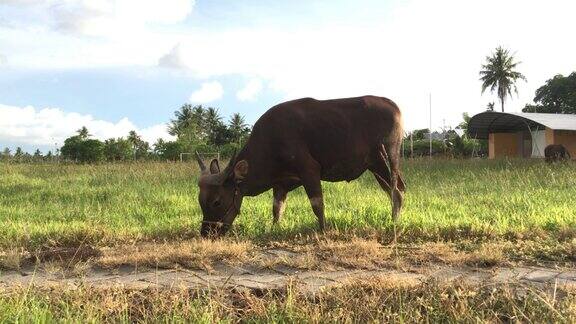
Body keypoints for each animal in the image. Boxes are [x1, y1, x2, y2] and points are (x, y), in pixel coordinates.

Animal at [196, 95, 408, 237]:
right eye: (200, 201)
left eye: (216, 201)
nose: (206, 232)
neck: (270, 142)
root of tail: (393, 106)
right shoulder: (280, 184)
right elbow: (277, 209)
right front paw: (274, 228)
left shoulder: (310, 171)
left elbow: (317, 204)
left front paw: (323, 230)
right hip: (376, 166)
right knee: (395, 191)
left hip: (388, 159)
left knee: (396, 192)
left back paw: (393, 224)